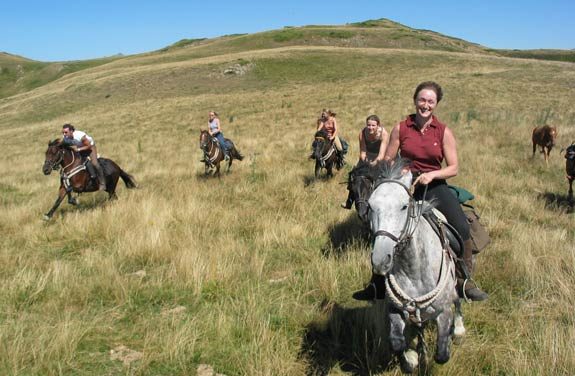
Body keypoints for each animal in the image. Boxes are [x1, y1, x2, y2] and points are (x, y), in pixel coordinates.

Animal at [368, 162, 468, 374]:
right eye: (371, 206)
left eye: (404, 206)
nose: (380, 259)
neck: (414, 270)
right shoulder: (395, 310)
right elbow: (396, 342)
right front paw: (411, 358)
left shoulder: (443, 310)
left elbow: (441, 354)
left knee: (458, 298)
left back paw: (459, 329)